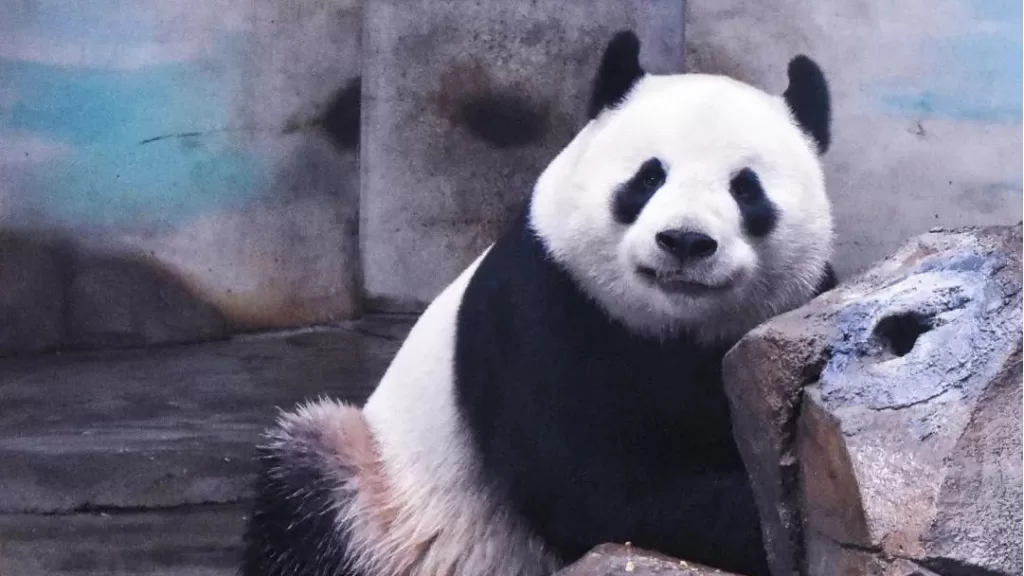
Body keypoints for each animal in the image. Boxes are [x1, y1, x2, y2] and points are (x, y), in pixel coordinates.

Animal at [242, 30, 836, 576]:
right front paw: (766, 528)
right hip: (378, 496)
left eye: (746, 189)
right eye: (648, 177)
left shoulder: (798, 304)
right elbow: (591, 484)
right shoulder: (540, 307)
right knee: (305, 488)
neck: (675, 329)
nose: (686, 241)